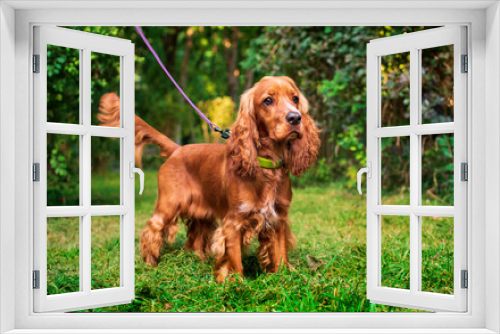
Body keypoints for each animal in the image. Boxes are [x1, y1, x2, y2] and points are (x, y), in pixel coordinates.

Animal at [98, 75, 320, 282]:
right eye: (267, 100)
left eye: (295, 98)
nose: (295, 118)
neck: (267, 167)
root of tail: (177, 150)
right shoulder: (233, 222)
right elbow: (235, 260)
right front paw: (236, 284)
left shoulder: (278, 219)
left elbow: (280, 253)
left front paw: (282, 278)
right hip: (168, 205)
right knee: (152, 230)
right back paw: (150, 263)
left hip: (202, 212)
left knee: (196, 238)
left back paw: (197, 261)